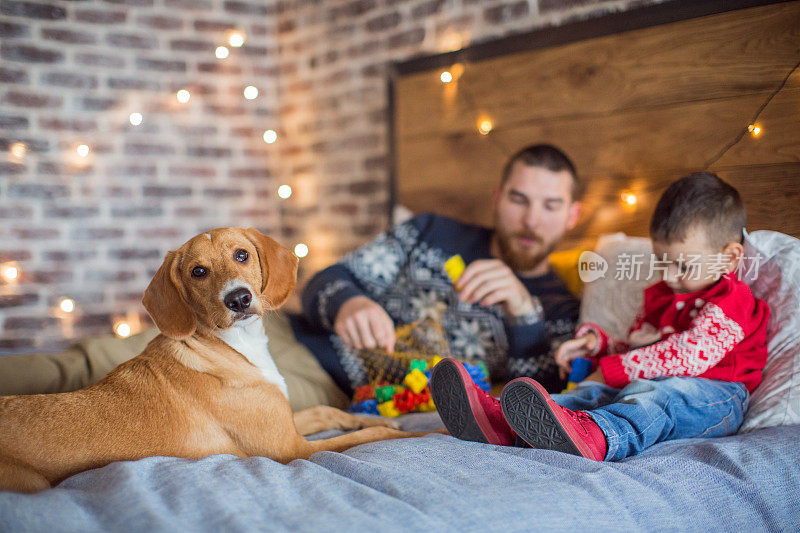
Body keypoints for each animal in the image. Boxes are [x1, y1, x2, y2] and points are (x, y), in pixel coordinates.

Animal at [1, 227, 424, 492]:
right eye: (198, 272)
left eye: (242, 255)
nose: (237, 299)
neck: (236, 348)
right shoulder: (292, 449)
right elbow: (361, 440)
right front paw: (420, 432)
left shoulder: (287, 421)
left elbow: (329, 411)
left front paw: (378, 418)